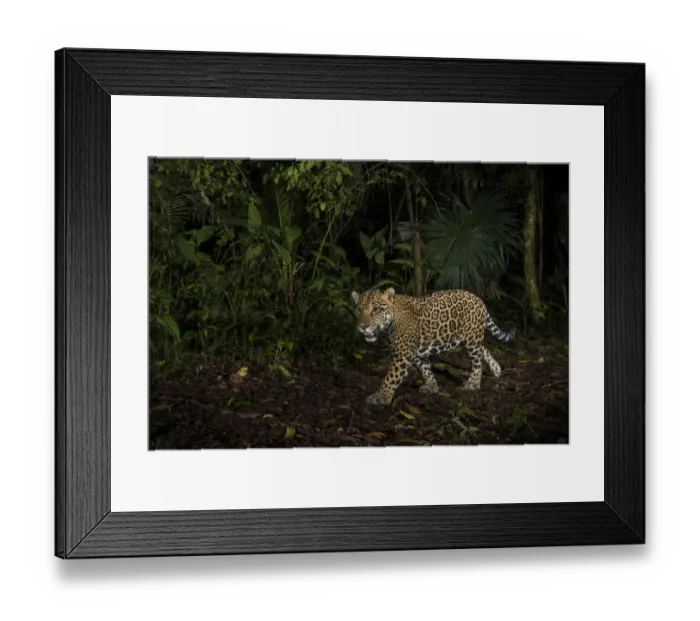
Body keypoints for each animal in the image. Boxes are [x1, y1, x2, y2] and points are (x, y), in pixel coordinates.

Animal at [351, 287, 515, 405]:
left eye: (376, 309)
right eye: (359, 309)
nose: (362, 327)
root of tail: (477, 298)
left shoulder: (403, 356)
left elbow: (390, 378)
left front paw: (380, 397)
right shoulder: (416, 351)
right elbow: (425, 369)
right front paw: (432, 386)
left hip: (472, 338)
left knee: (477, 361)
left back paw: (473, 383)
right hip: (468, 337)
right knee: (483, 349)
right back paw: (496, 368)